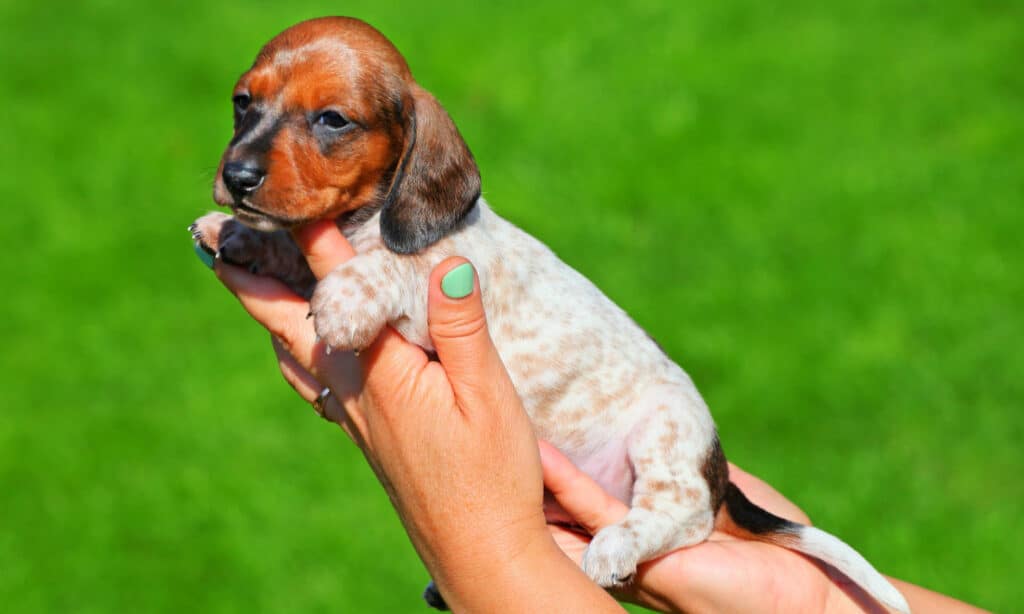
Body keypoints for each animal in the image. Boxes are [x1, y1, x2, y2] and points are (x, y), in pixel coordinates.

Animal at [188, 16, 909, 609]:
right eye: (242, 102)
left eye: (332, 119)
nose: (238, 177)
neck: (363, 223)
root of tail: (719, 472)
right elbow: (291, 251)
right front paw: (238, 234)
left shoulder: (438, 289)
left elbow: (396, 268)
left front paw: (342, 298)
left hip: (666, 438)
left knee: (683, 519)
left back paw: (616, 544)